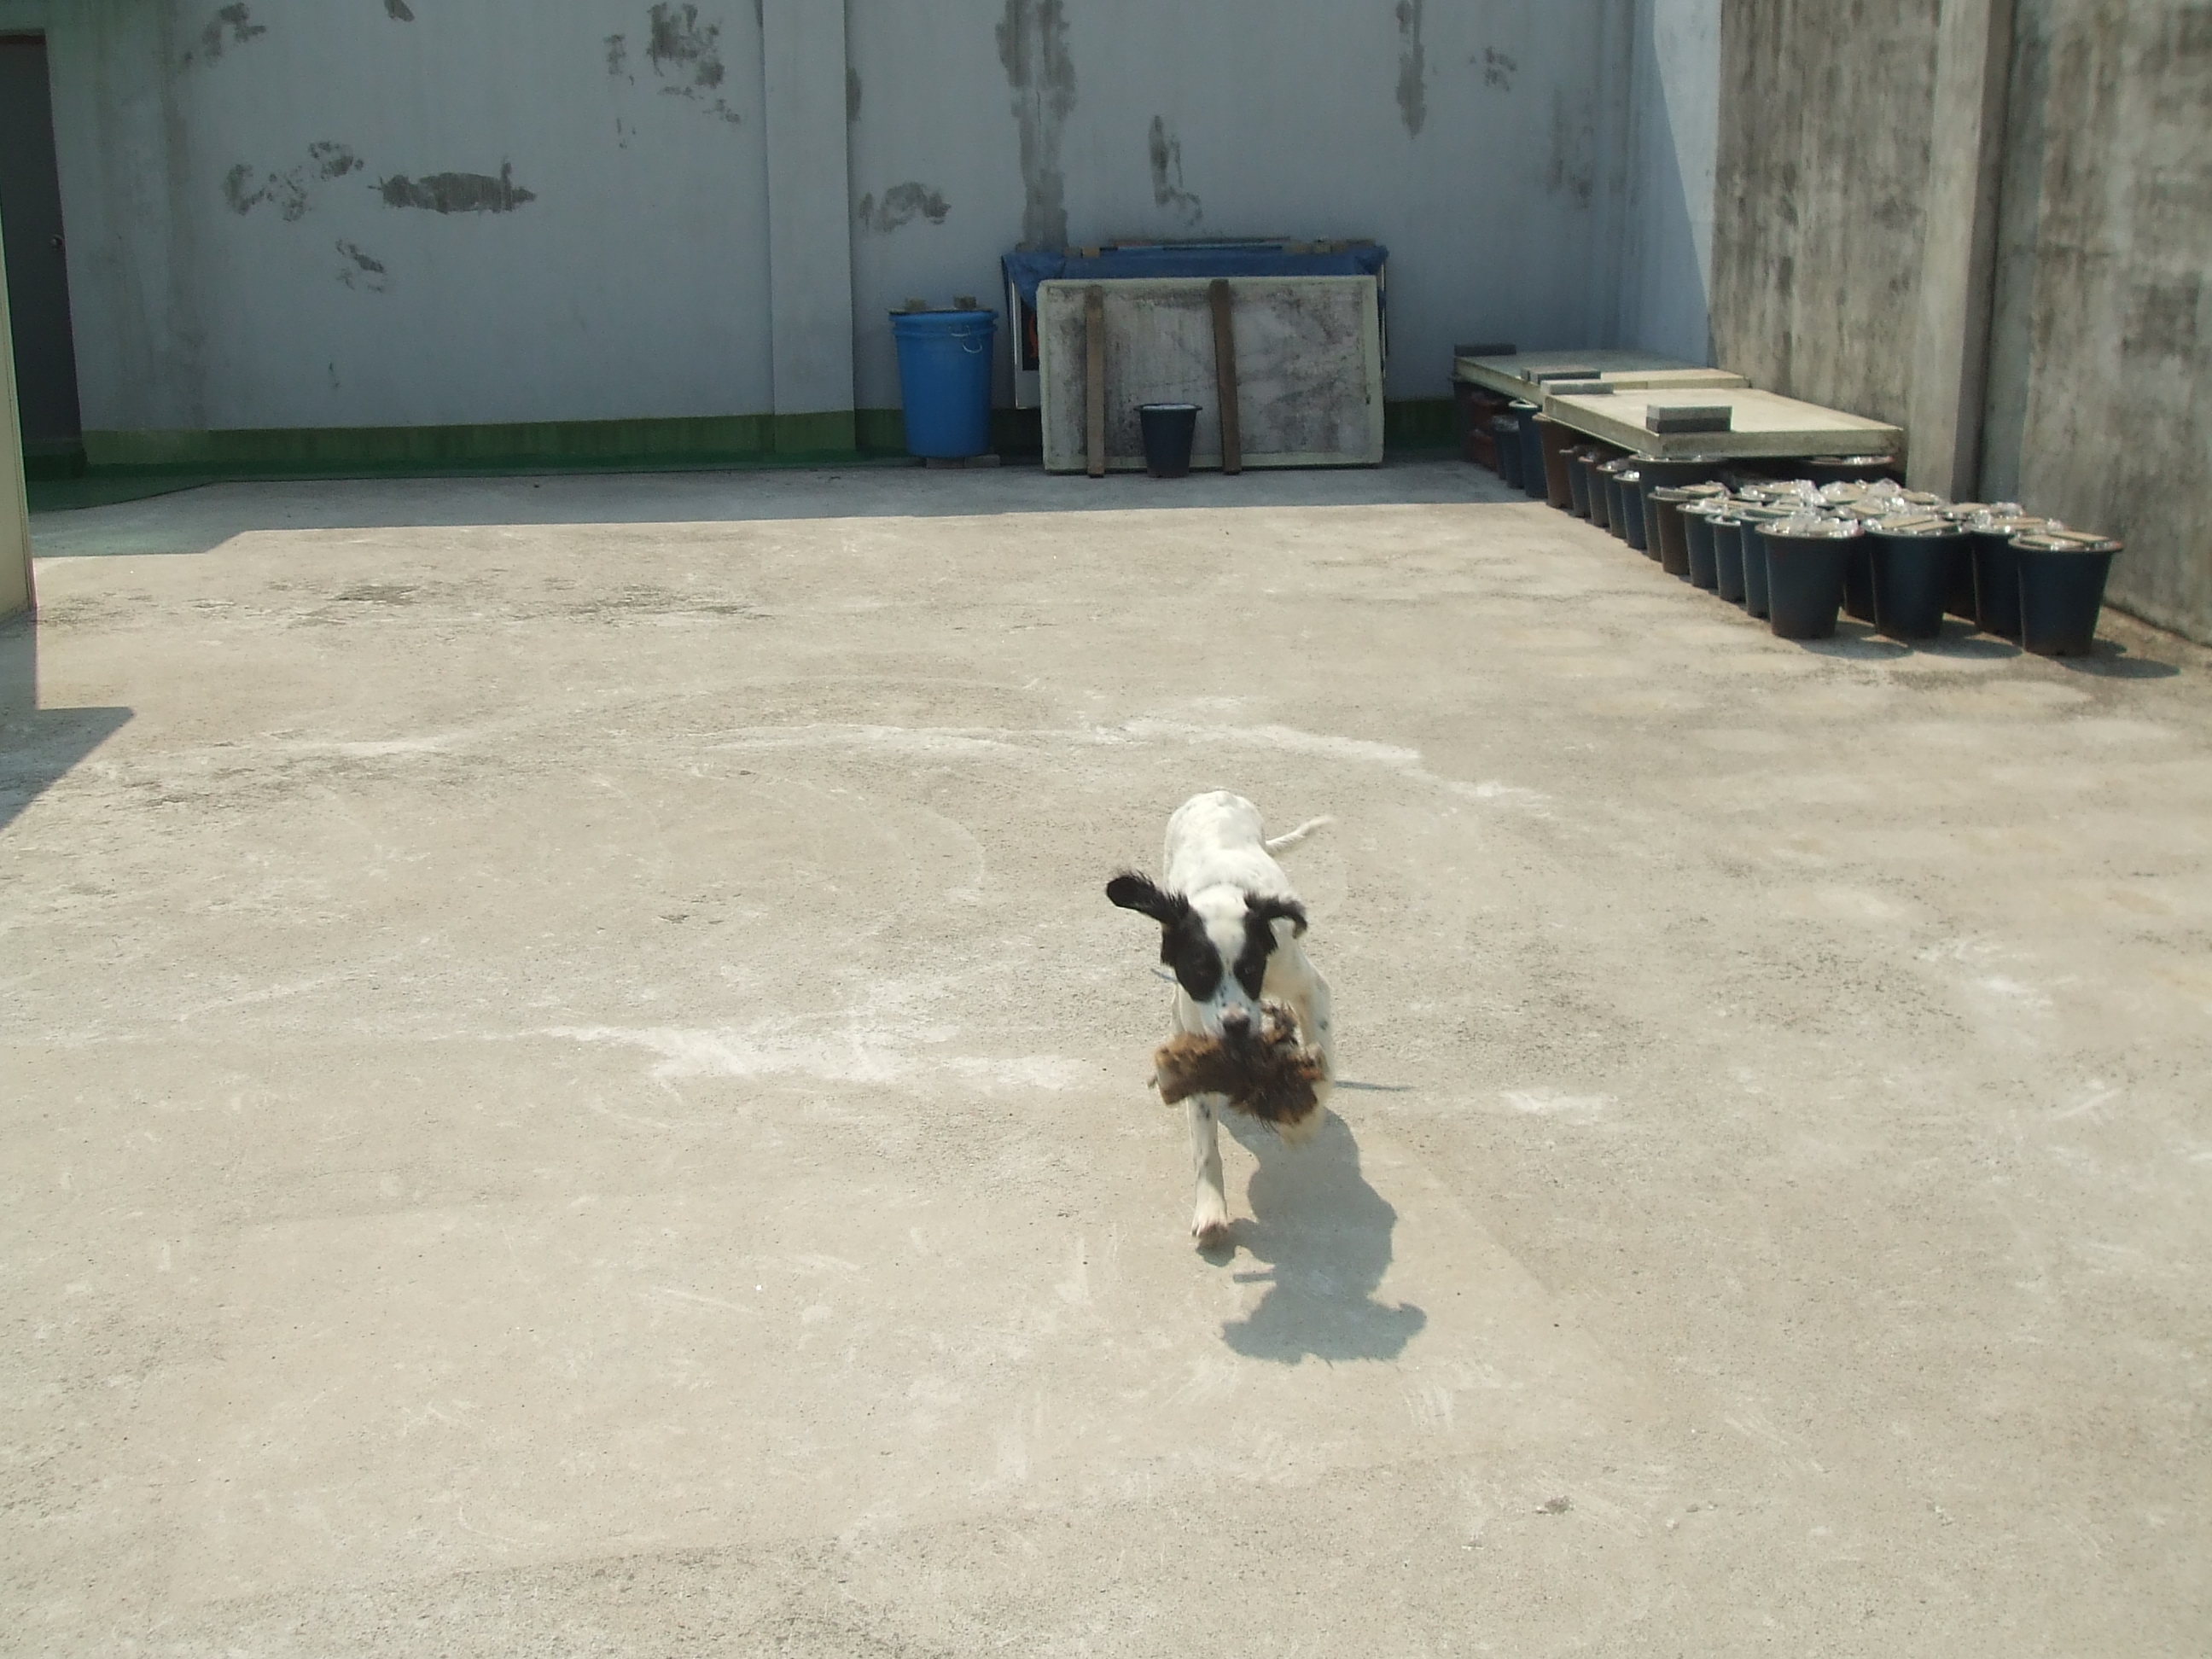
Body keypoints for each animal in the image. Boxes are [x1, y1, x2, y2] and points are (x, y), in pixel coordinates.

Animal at [1107, 791, 1335, 1246]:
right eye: (1200, 973)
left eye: (1250, 969)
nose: (1236, 1026)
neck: (1222, 895)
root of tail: (1215, 794)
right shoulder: (1197, 1034)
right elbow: (1204, 1143)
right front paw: (1211, 1210)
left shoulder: (1310, 986)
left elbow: (1322, 1061)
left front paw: (1302, 1122)